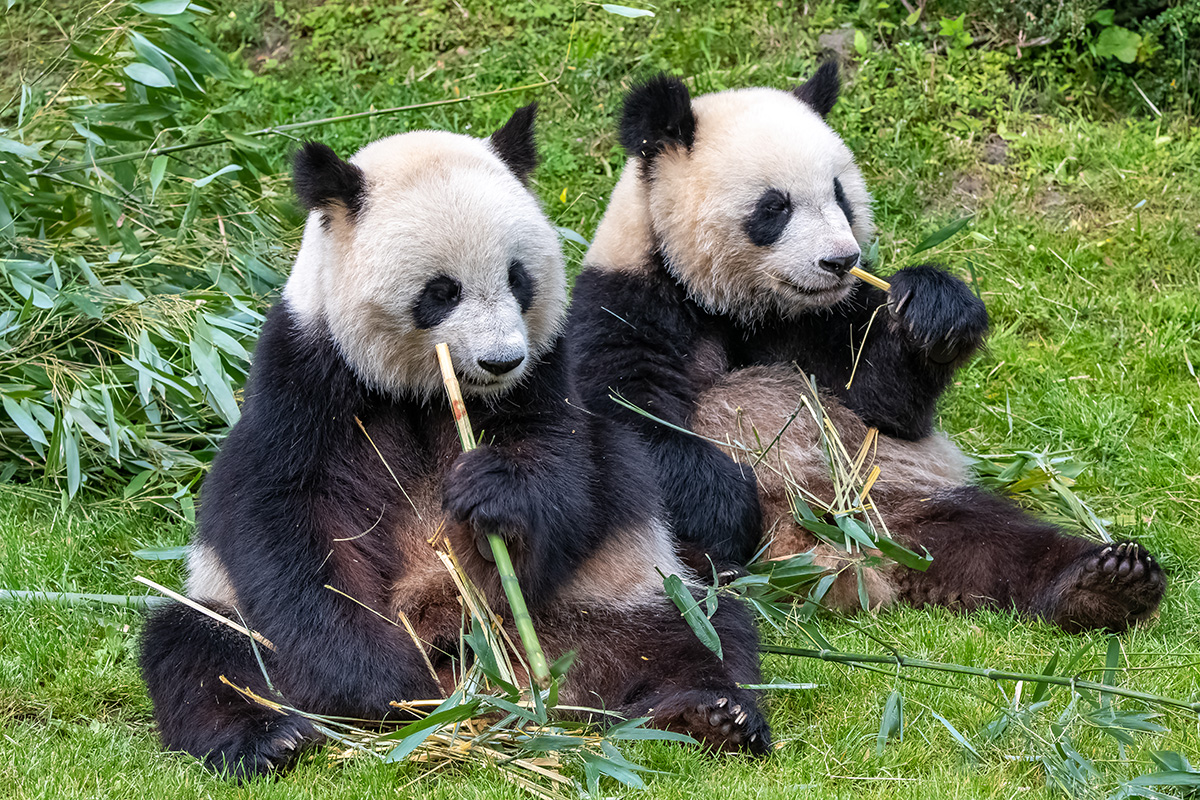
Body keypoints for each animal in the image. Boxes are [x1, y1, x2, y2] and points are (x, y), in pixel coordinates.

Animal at [139, 105, 769, 779]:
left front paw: (492, 494)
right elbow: (286, 519)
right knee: (202, 653)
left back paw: (711, 713)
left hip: (615, 595)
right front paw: (378, 679)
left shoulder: (547, 379)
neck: (428, 391)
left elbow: (570, 469)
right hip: (238, 623)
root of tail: (483, 683)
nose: (500, 360)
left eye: (519, 279)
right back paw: (269, 737)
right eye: (441, 292)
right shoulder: (306, 380)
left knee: (699, 627)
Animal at [565, 64, 1166, 632]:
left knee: (998, 537)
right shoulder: (623, 307)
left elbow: (881, 403)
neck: (737, 304)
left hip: (892, 496)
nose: (840, 260)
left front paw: (935, 310)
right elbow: (631, 425)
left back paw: (1106, 582)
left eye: (839, 195)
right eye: (774, 207)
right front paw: (727, 509)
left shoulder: (831, 319)